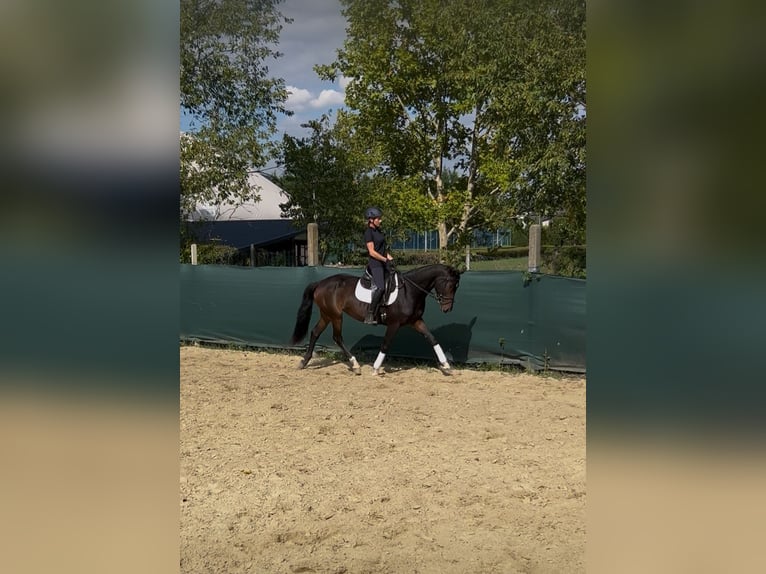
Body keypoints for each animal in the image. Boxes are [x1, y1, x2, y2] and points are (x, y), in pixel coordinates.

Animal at [290, 264, 462, 376]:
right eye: (450, 285)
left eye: (456, 287)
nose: (447, 309)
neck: (410, 291)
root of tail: (320, 283)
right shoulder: (394, 324)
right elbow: (386, 344)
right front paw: (376, 368)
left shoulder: (416, 321)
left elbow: (432, 339)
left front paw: (446, 365)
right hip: (335, 315)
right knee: (337, 337)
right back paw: (355, 365)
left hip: (327, 315)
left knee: (315, 332)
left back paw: (304, 362)